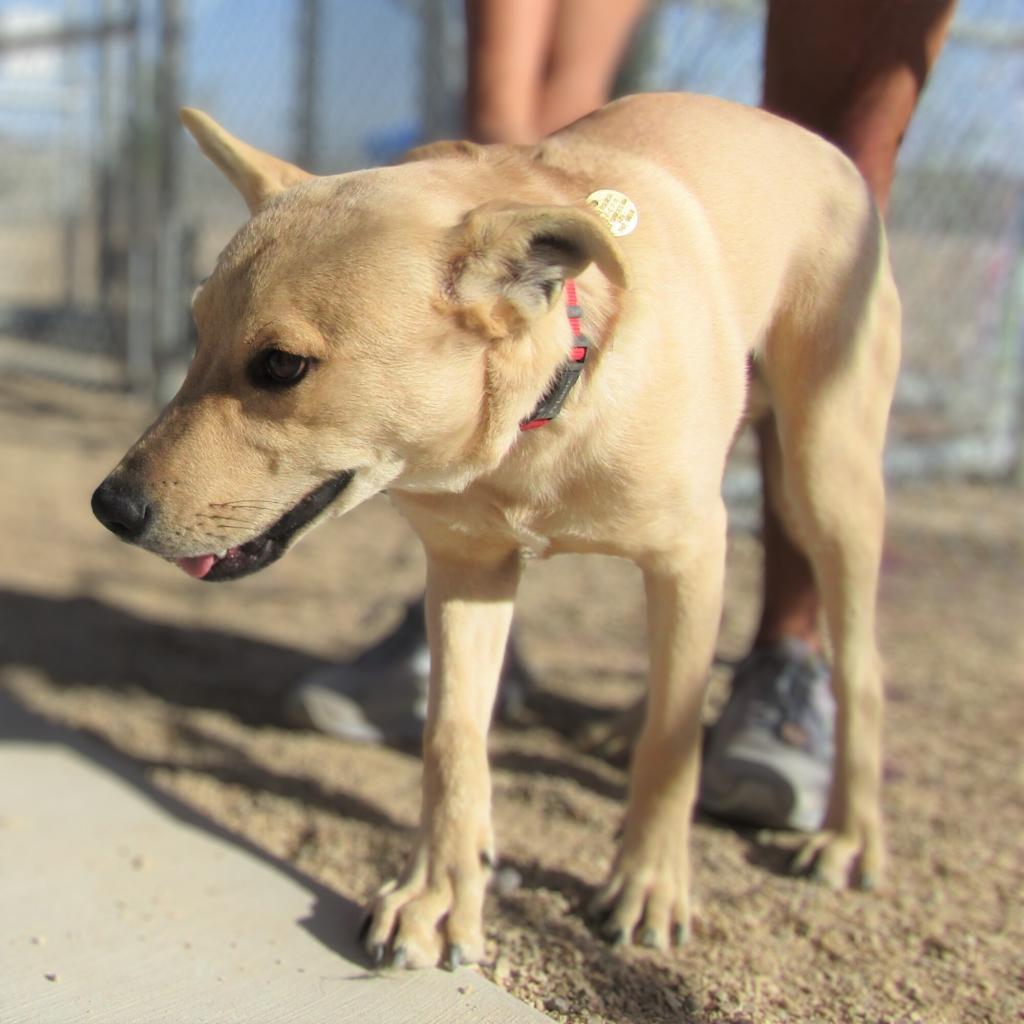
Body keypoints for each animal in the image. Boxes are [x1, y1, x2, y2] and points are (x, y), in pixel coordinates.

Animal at [94, 94, 897, 966]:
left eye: (281, 365)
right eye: (196, 331)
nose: (112, 507)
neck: (547, 403)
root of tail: (809, 138)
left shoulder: (687, 551)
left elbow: (673, 745)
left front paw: (650, 881)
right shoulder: (469, 569)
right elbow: (452, 741)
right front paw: (440, 896)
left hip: (826, 479)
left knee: (857, 668)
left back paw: (850, 835)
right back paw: (622, 728)